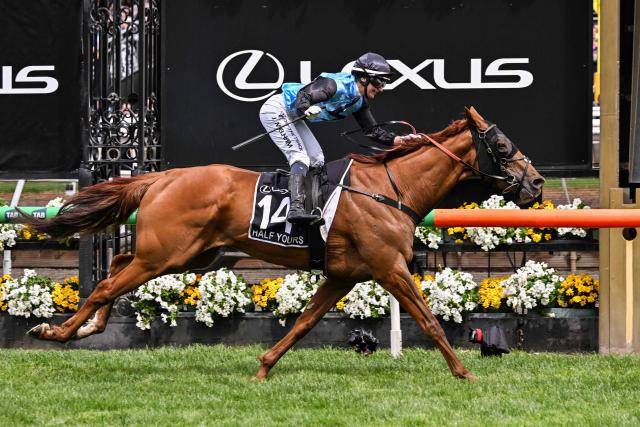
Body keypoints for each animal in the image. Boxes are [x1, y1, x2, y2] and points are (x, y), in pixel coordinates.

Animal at [21, 107, 544, 381]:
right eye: (502, 146)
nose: (537, 183)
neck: (391, 187)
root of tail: (163, 175)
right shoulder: (389, 267)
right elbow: (430, 321)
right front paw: (464, 372)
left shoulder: (343, 275)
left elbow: (304, 324)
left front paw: (264, 367)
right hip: (167, 253)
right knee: (108, 284)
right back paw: (58, 333)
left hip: (187, 256)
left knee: (117, 267)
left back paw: (85, 329)